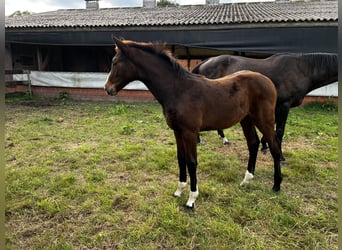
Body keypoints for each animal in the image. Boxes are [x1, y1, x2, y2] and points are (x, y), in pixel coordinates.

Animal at [105, 37, 282, 209]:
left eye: (115, 62)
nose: (108, 88)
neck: (179, 90)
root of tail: (268, 81)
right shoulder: (177, 131)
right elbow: (180, 158)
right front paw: (179, 190)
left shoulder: (190, 132)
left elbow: (191, 161)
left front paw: (191, 199)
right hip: (246, 119)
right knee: (253, 143)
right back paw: (246, 180)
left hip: (264, 119)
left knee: (274, 145)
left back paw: (276, 185)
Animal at [191, 53, 338, 162]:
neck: (301, 70)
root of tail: (207, 61)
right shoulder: (284, 106)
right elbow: (279, 131)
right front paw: (281, 157)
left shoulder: (275, 107)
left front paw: (264, 146)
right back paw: (201, 141)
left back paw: (222, 139)